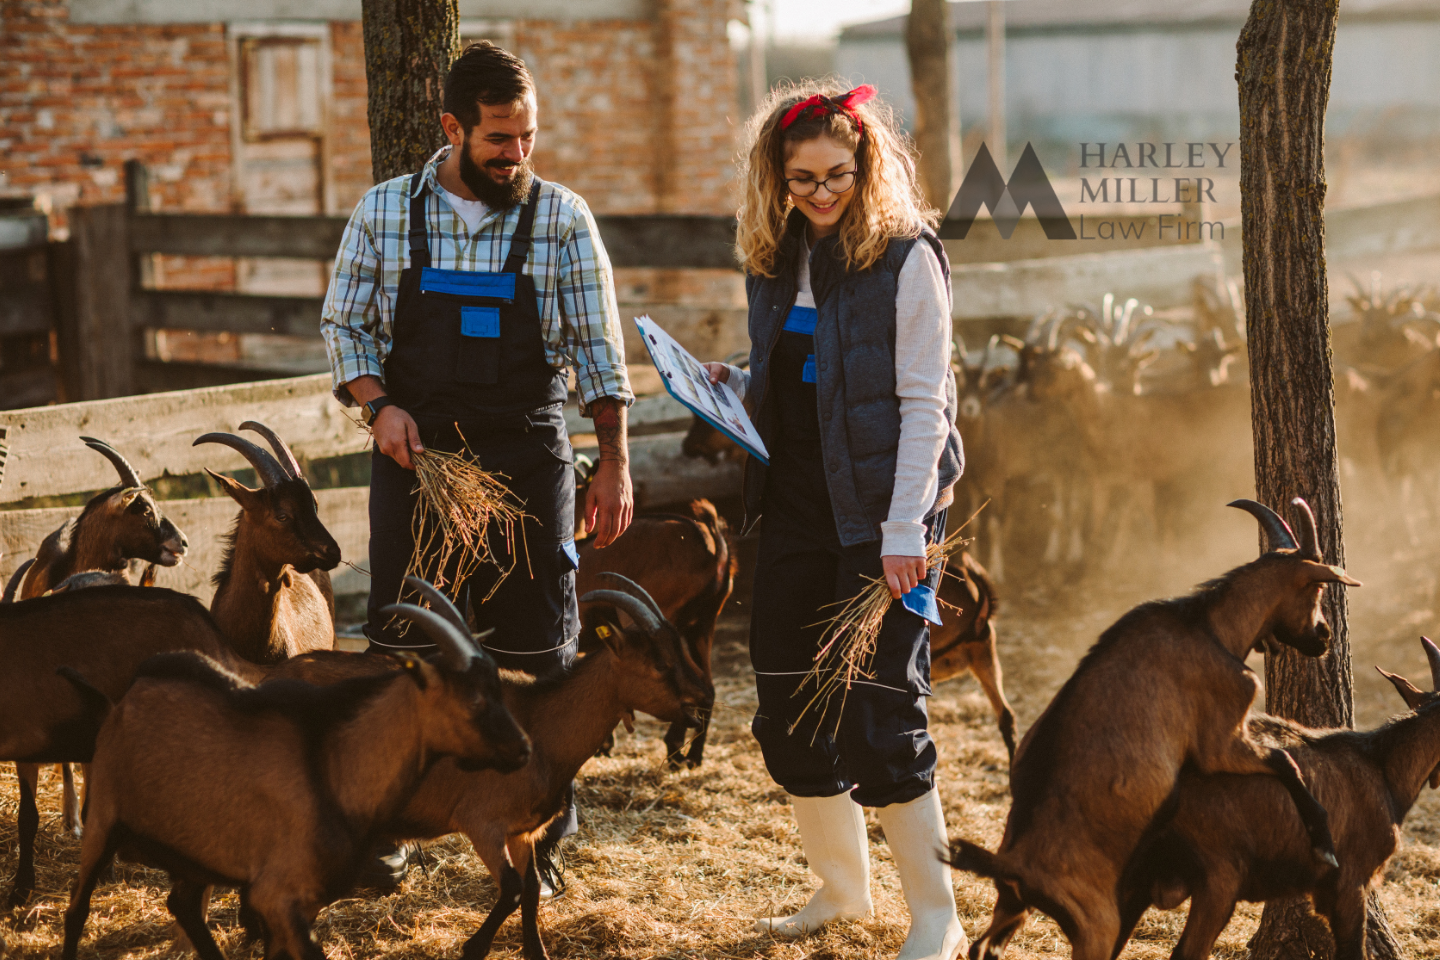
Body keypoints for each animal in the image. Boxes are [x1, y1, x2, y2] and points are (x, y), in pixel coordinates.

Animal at [61, 601, 532, 960]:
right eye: (473, 697)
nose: (523, 749)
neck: (336, 766)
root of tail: (126, 697)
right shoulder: (278, 896)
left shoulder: (294, 900)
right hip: (104, 818)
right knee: (77, 910)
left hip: (196, 850)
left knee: (183, 904)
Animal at [956, 500, 1359, 960]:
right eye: (1316, 589)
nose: (1323, 637)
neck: (1208, 627)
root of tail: (1015, 866)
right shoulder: (1221, 741)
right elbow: (1285, 761)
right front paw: (1324, 845)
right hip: (1096, 924)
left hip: (1011, 906)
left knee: (984, 946)